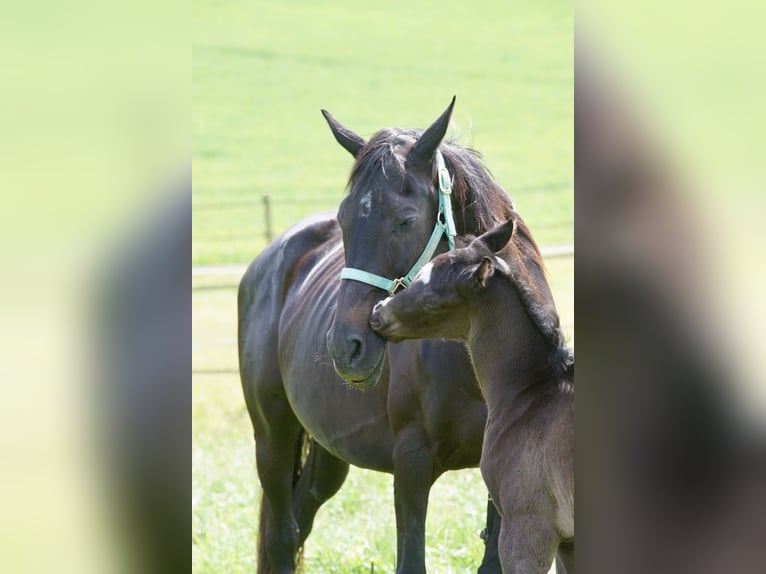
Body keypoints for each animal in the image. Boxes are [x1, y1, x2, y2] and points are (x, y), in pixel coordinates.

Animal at [239, 98, 525, 573]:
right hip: (272, 438)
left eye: (405, 221)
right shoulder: (411, 464)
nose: (345, 347)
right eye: (342, 220)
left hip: (327, 454)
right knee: (280, 537)